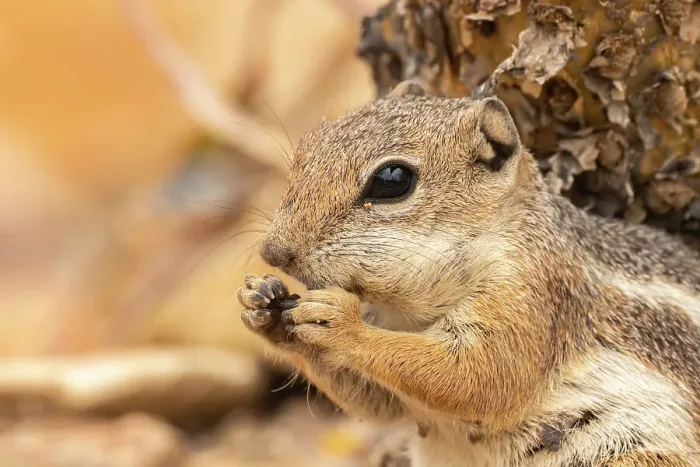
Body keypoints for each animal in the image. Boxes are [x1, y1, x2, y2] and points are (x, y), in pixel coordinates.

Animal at [237, 80, 700, 467]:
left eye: (392, 179)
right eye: (305, 149)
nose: (273, 251)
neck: (409, 310)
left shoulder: (531, 296)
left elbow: (479, 376)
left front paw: (340, 323)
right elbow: (379, 402)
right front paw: (263, 306)